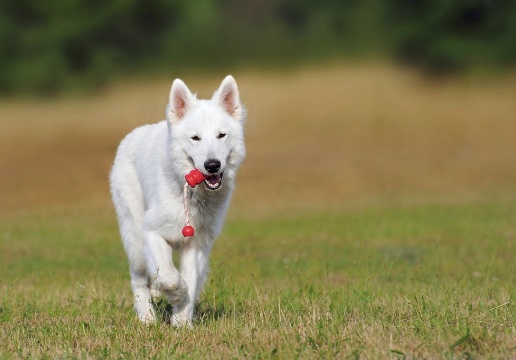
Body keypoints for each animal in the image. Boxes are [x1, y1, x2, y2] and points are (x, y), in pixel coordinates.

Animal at [110, 76, 247, 326]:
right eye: (195, 138)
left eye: (221, 135)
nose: (212, 165)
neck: (192, 194)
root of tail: (132, 135)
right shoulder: (151, 232)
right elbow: (169, 276)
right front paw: (176, 296)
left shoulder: (196, 244)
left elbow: (190, 279)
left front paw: (182, 321)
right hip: (134, 239)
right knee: (139, 279)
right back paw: (147, 317)